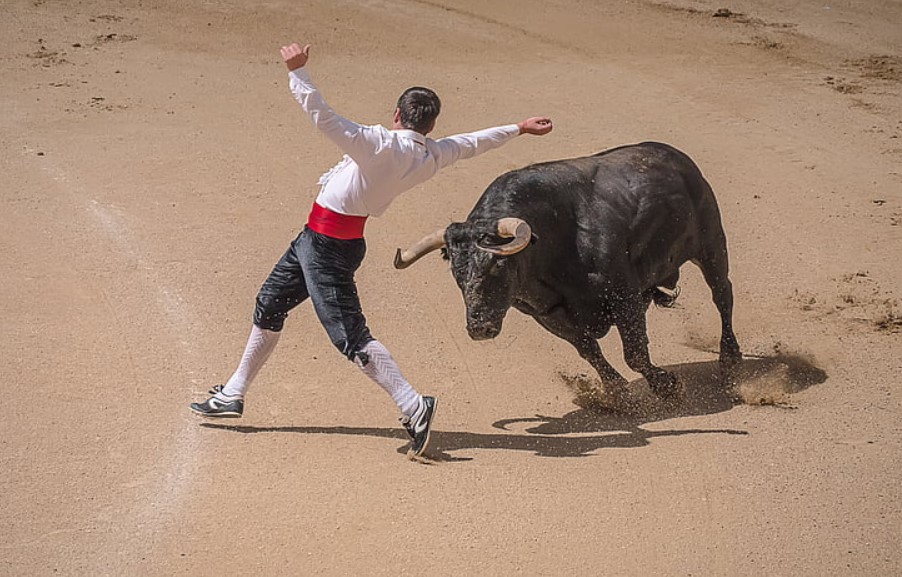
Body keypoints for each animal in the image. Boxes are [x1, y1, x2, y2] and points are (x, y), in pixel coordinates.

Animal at [394, 142, 742, 399]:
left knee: (722, 295)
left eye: (497, 266)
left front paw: (666, 386)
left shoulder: (624, 295)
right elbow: (589, 350)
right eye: (457, 275)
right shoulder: (546, 313)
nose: (480, 328)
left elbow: (634, 353)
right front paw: (617, 394)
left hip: (711, 244)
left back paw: (731, 363)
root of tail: (676, 156)